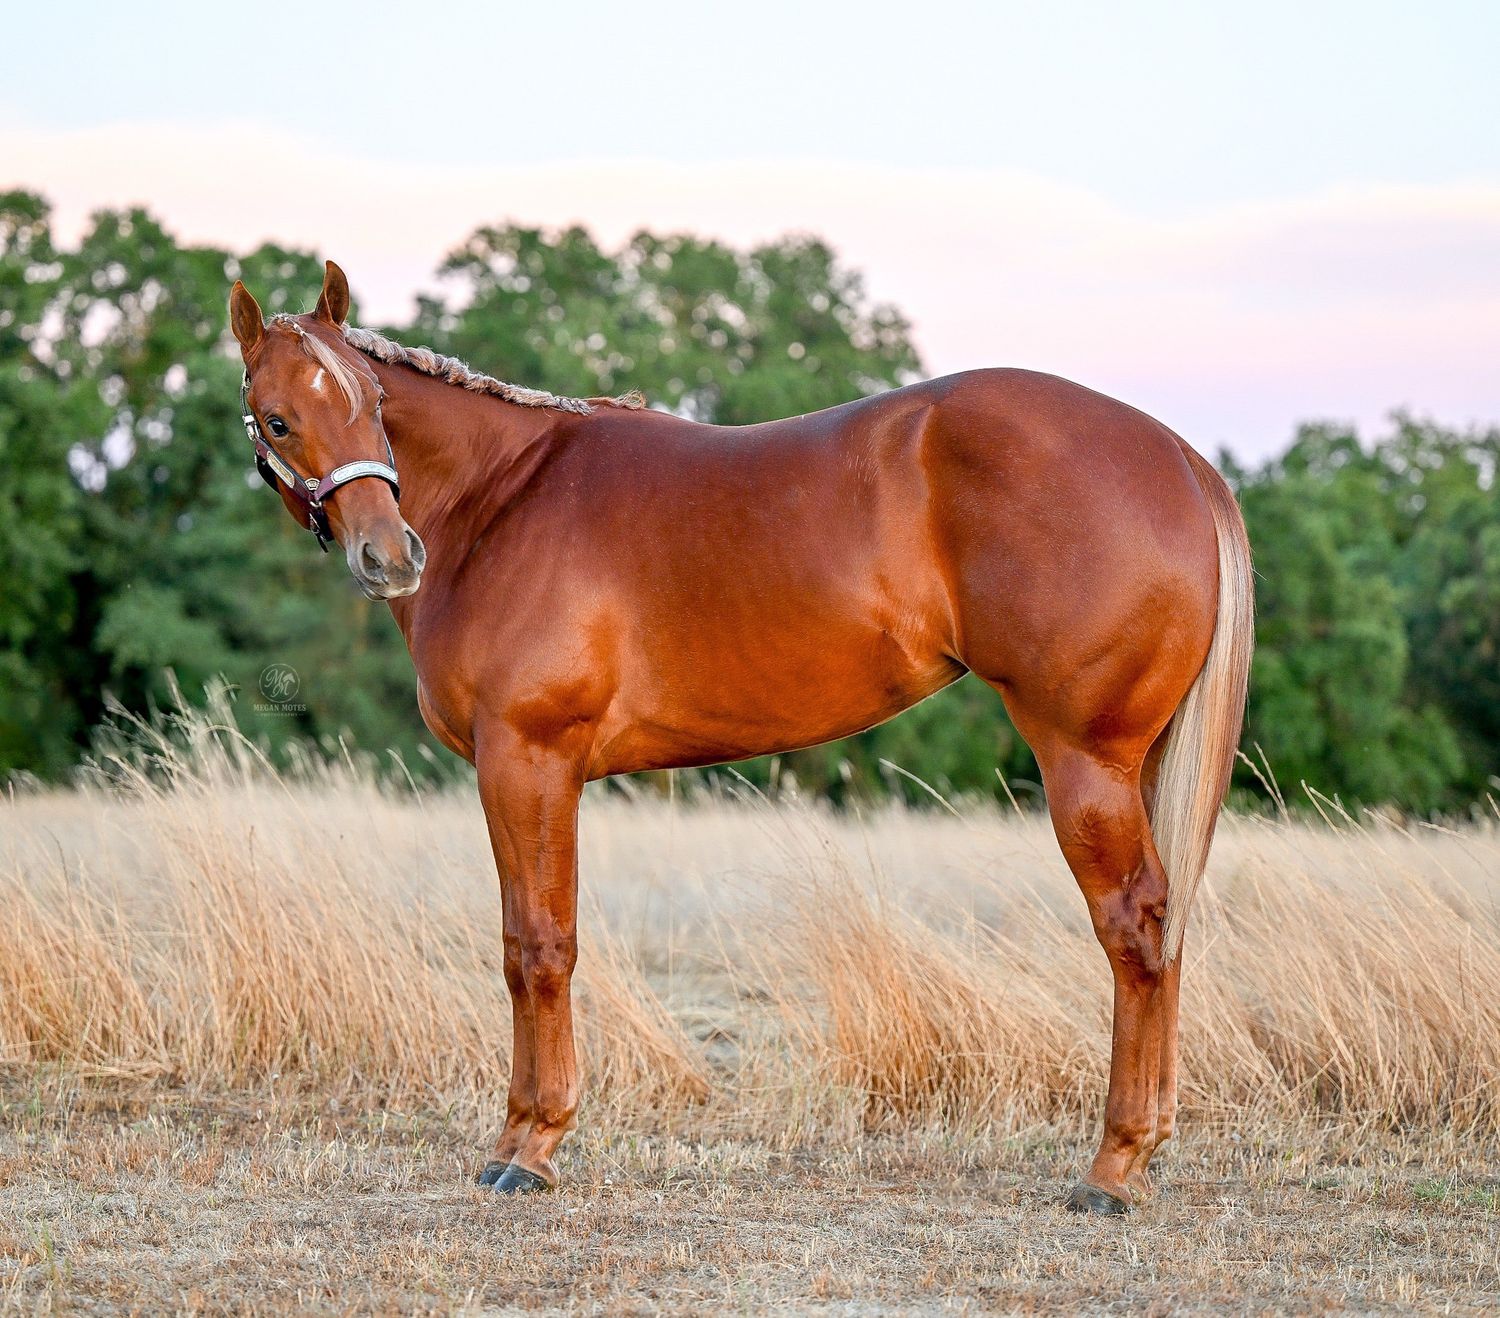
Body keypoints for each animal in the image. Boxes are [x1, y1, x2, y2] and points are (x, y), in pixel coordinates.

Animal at [228, 260, 1252, 1213]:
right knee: (1165, 934)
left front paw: (532, 1147)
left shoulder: (528, 761)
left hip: (1085, 761)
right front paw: (522, 1136)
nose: (390, 557)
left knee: (1134, 928)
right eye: (277, 420)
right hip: (1136, 764)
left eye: (373, 402)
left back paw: (1112, 1168)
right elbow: (525, 946)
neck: (500, 499)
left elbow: (539, 948)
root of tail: (1178, 457)